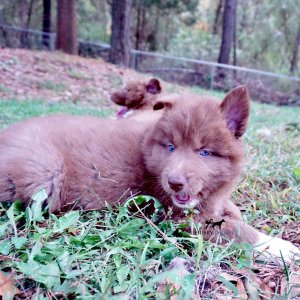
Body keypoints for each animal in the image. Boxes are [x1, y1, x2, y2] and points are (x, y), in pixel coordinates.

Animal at [0, 85, 298, 262]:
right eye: (171, 147)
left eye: (204, 152)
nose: (174, 183)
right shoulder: (183, 220)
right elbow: (237, 231)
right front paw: (281, 247)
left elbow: (230, 209)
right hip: (44, 172)